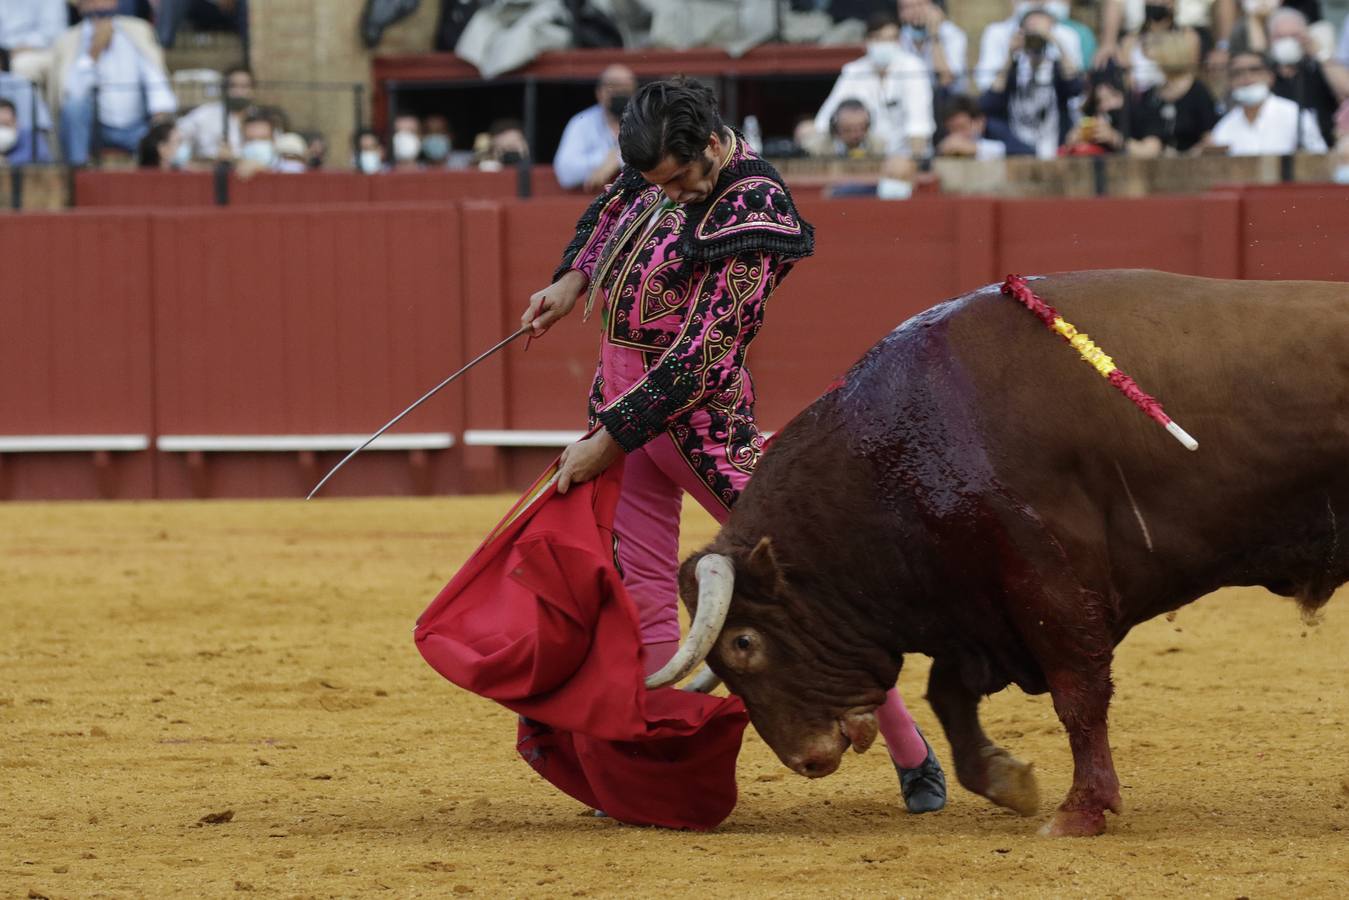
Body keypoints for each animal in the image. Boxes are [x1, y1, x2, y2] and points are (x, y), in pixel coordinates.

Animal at [650, 269, 1338, 836]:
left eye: (745, 642)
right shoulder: (977, 610)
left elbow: (1078, 694)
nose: (807, 760)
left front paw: (1080, 812)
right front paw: (1010, 782)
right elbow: (949, 695)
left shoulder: (1049, 584)